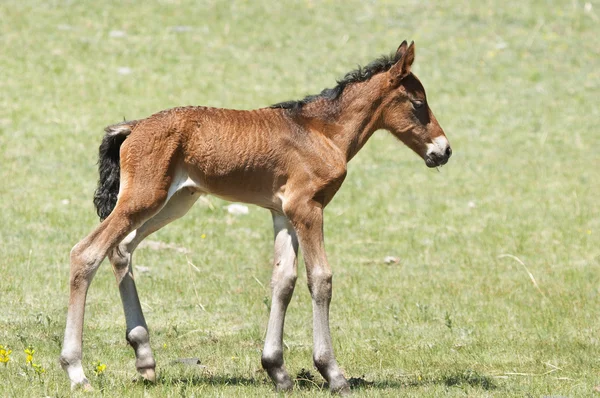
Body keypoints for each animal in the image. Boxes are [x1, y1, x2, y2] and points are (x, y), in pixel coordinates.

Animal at [61, 40, 450, 392]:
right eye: (418, 103)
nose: (443, 150)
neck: (321, 131)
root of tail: (133, 126)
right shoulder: (307, 208)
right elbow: (320, 279)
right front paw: (332, 373)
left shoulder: (283, 213)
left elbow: (283, 280)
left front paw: (277, 370)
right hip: (143, 199)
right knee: (86, 253)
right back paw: (77, 371)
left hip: (175, 201)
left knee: (121, 249)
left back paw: (144, 357)